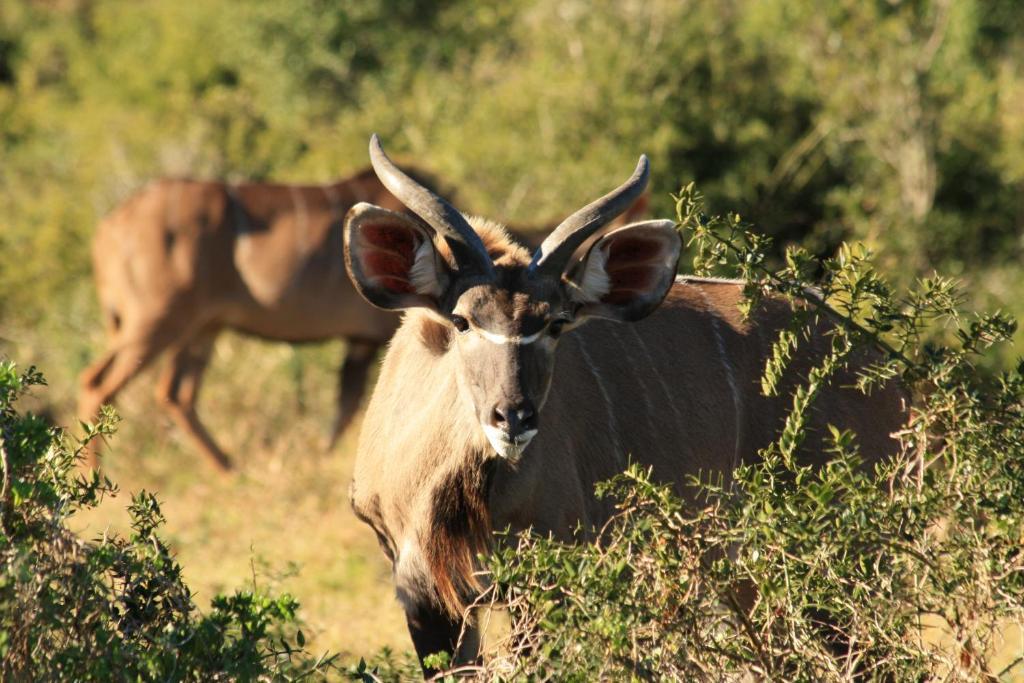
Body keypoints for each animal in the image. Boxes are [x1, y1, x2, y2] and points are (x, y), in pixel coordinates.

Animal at [344, 135, 905, 671]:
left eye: (556, 323)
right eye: (461, 321)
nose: (514, 418)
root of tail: (876, 357)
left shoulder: (544, 580)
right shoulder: (424, 594)